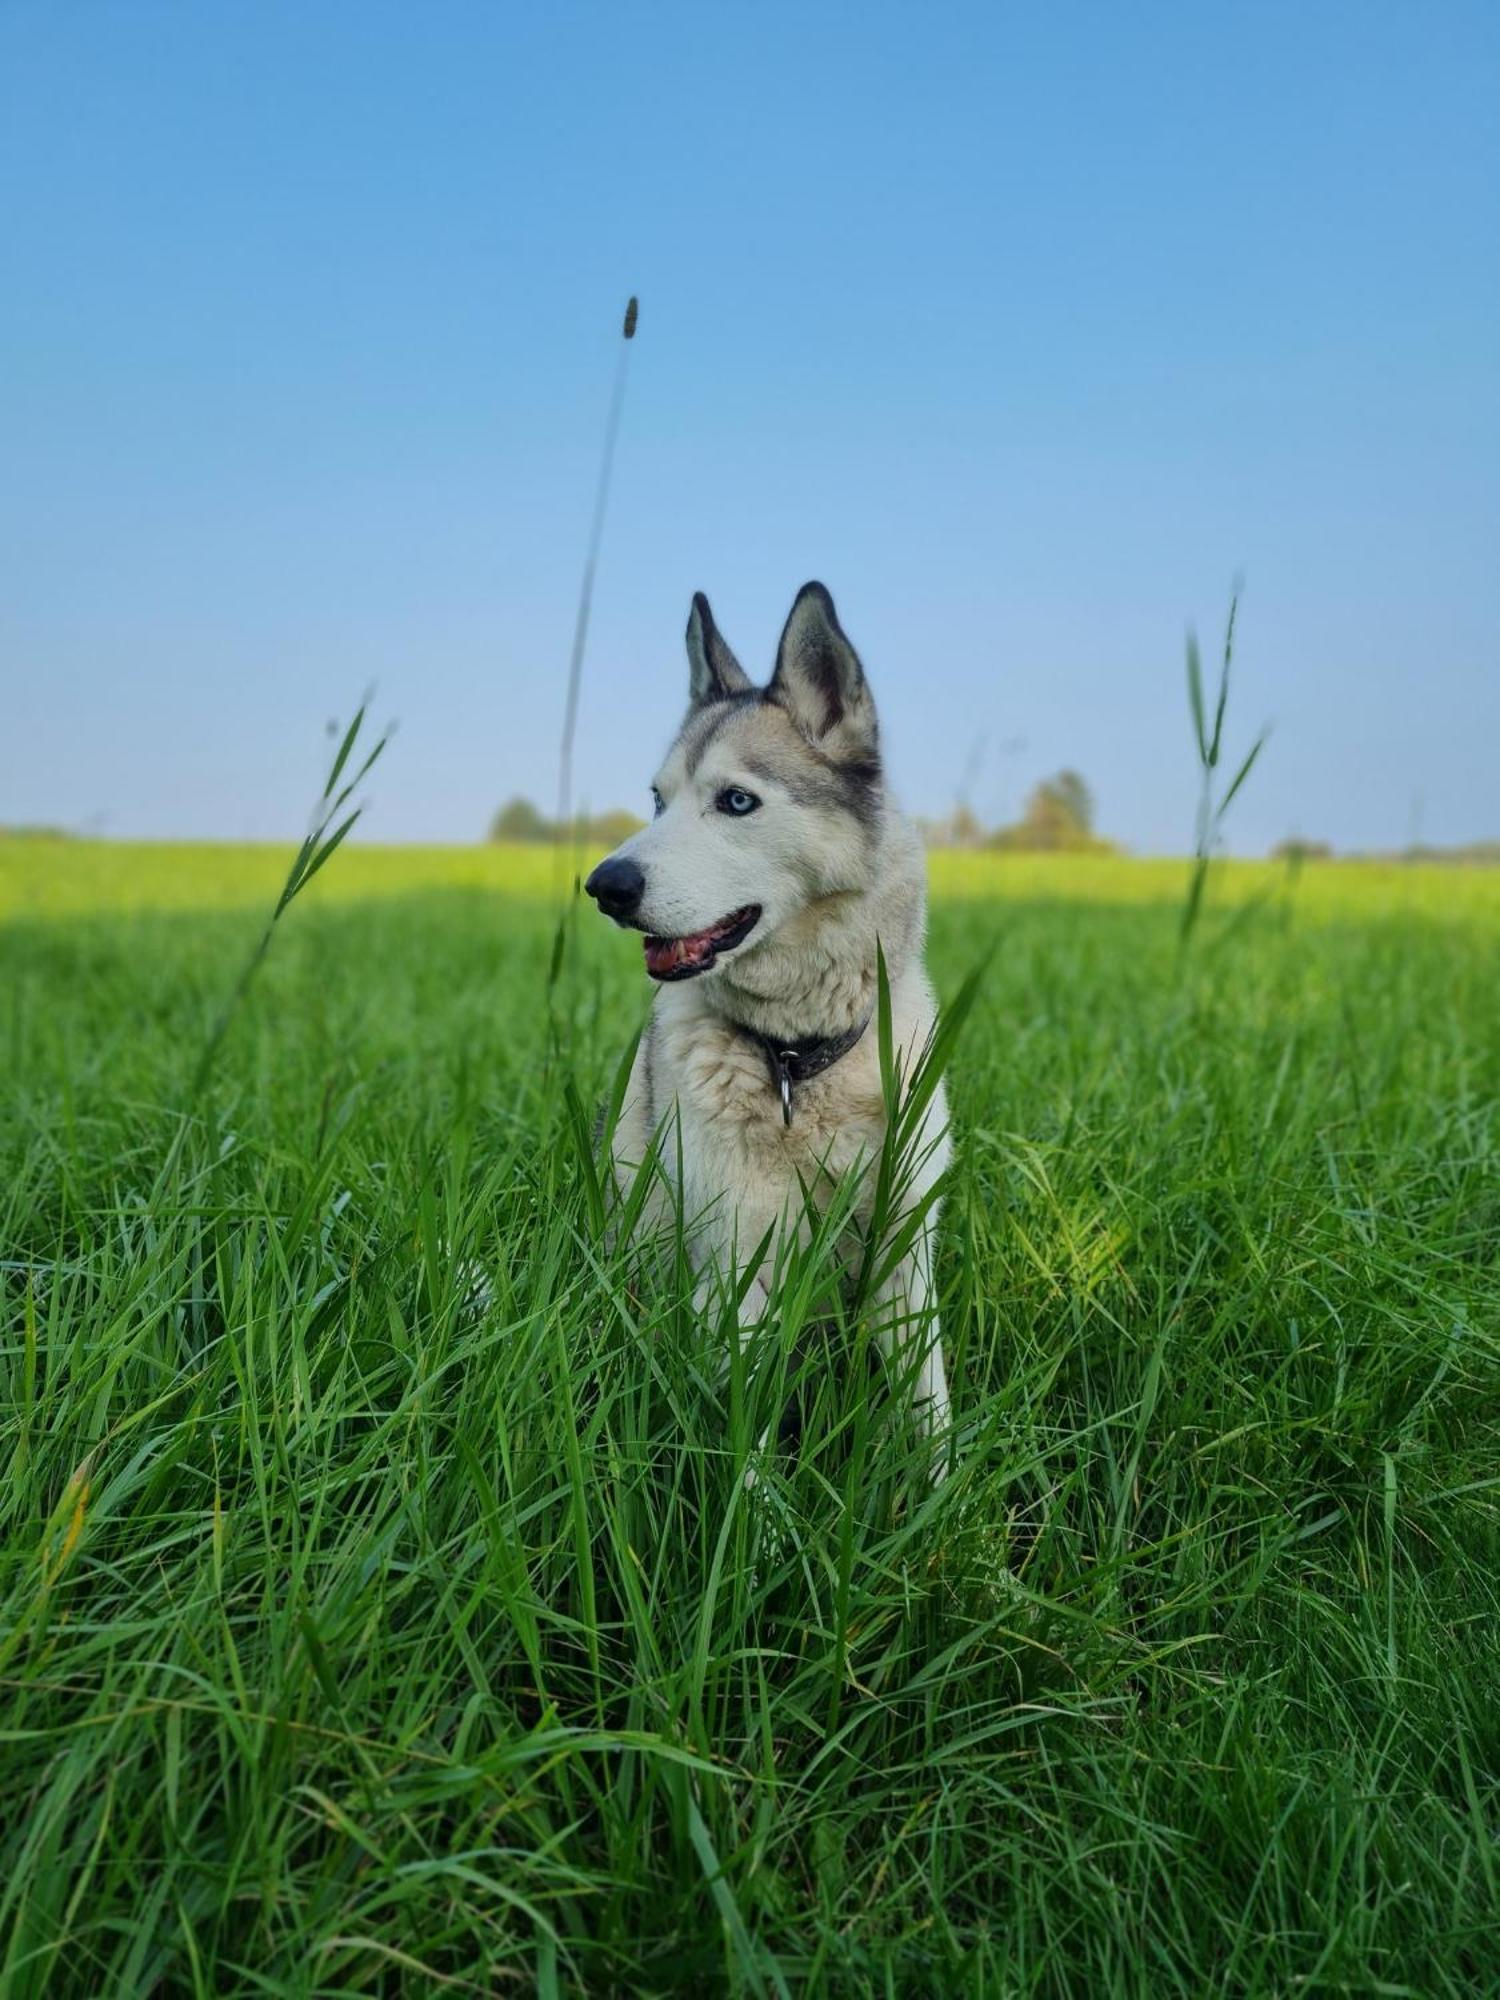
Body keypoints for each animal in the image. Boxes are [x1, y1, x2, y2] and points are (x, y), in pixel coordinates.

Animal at [588, 584, 952, 1456]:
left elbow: (933, 1420)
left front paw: (952, 1493)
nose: (604, 885)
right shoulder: (738, 1271)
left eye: (736, 801)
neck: (795, 1061)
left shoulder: (906, 1257)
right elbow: (745, 1436)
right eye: (658, 800)